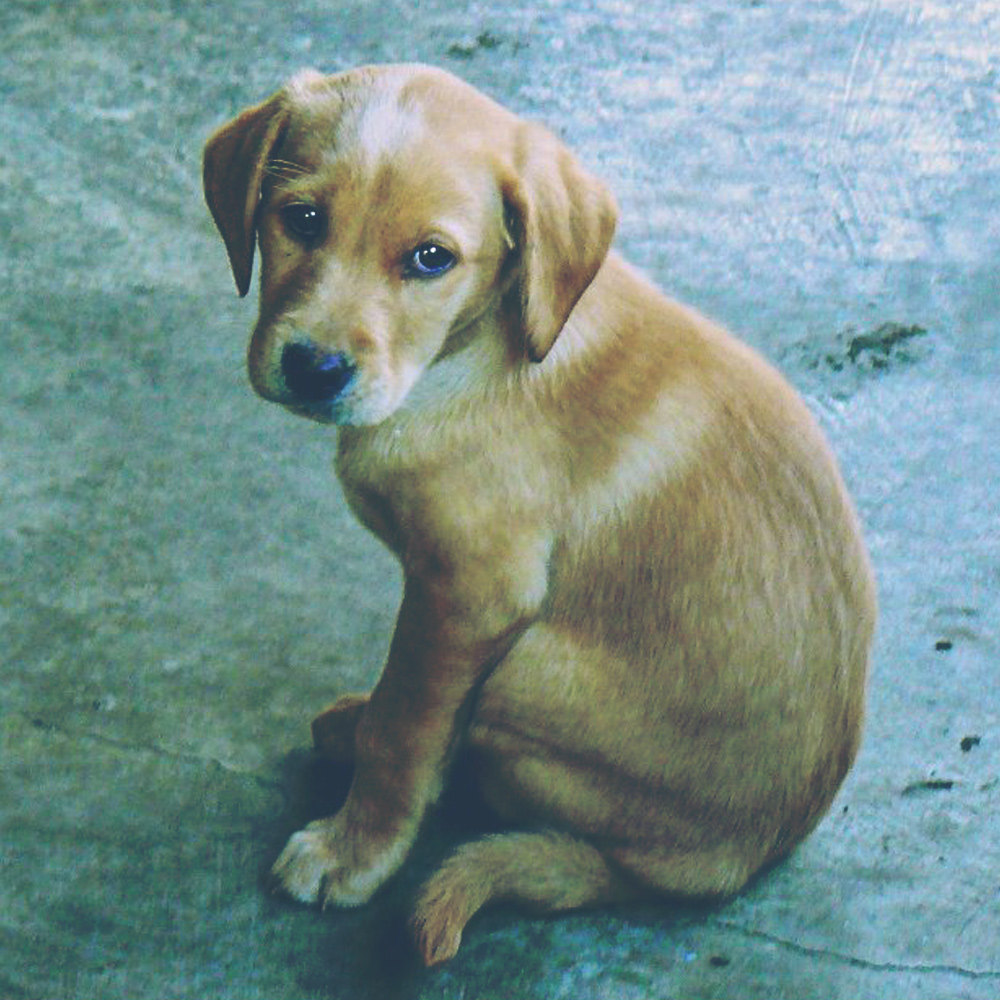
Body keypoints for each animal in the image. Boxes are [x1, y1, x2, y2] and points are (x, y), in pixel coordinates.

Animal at [203, 60, 876, 960]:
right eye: (301, 218)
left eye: (431, 259)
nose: (314, 368)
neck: (472, 352)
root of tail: (732, 865)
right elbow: (406, 707)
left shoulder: (469, 595)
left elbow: (404, 730)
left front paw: (354, 852)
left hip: (526, 674)